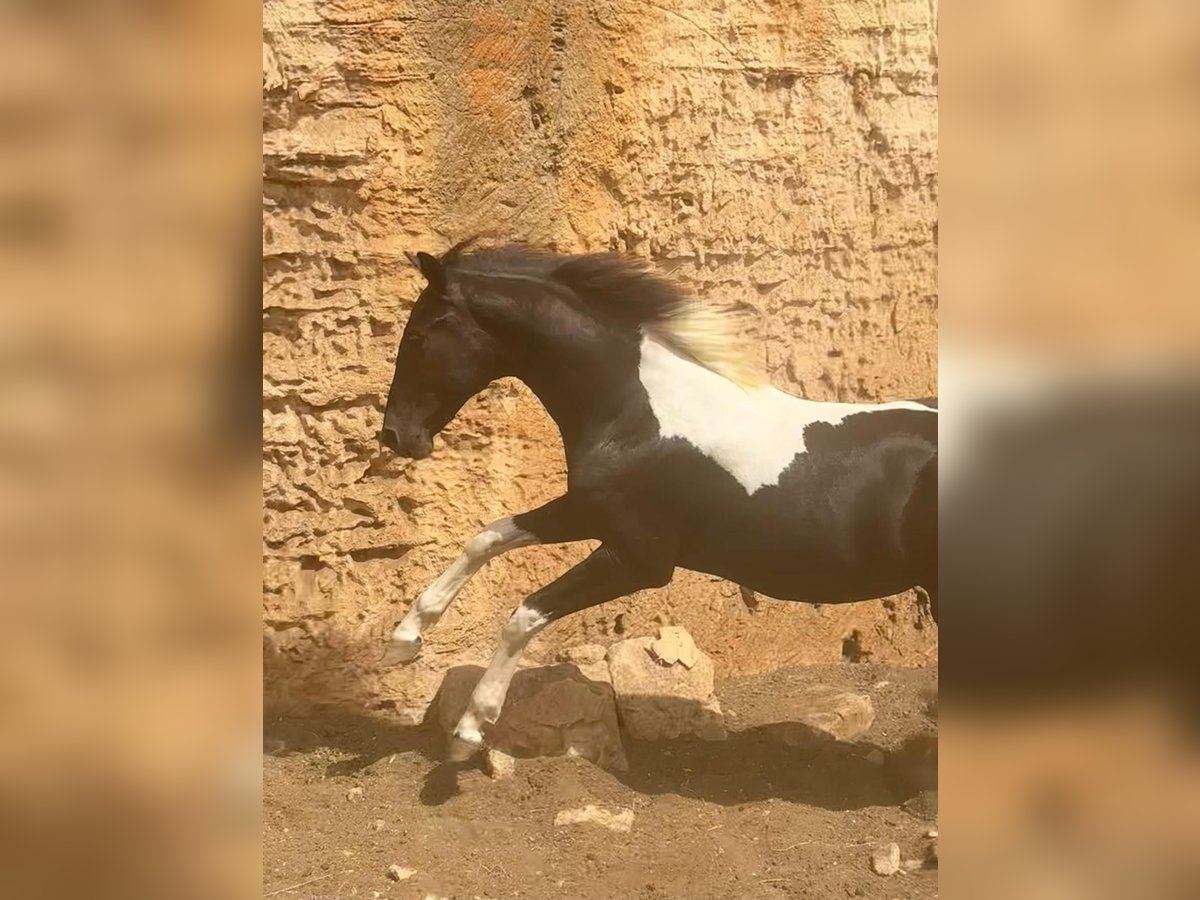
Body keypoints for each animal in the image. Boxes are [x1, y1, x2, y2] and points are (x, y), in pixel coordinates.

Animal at [374, 243, 936, 763]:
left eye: (418, 336)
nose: (395, 436)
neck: (641, 415)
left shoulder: (637, 560)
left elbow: (524, 613)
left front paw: (470, 728)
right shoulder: (587, 513)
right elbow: (486, 537)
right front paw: (404, 639)